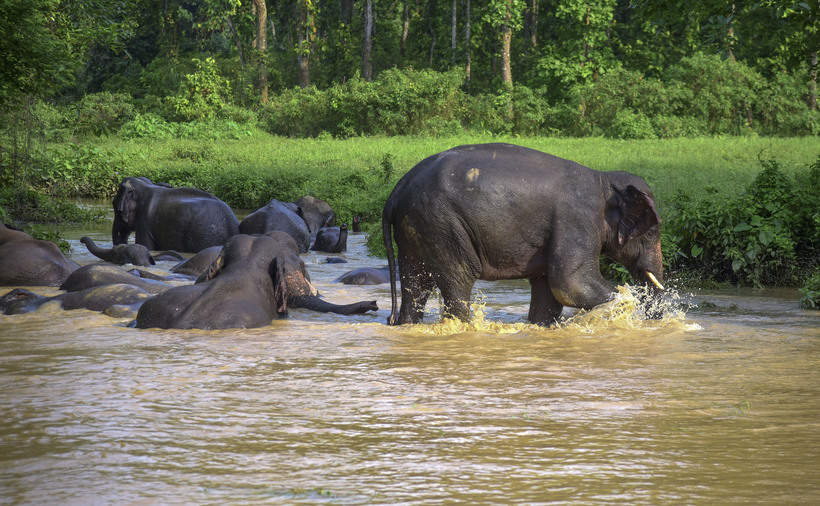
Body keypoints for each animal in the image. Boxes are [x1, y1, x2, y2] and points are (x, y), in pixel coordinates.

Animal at [382, 142, 664, 326]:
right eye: (652, 231)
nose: (655, 322)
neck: (604, 180)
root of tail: (396, 191)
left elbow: (548, 292)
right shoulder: (578, 219)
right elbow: (570, 283)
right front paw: (626, 300)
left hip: (415, 228)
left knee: (415, 283)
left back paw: (407, 324)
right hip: (441, 223)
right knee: (458, 280)